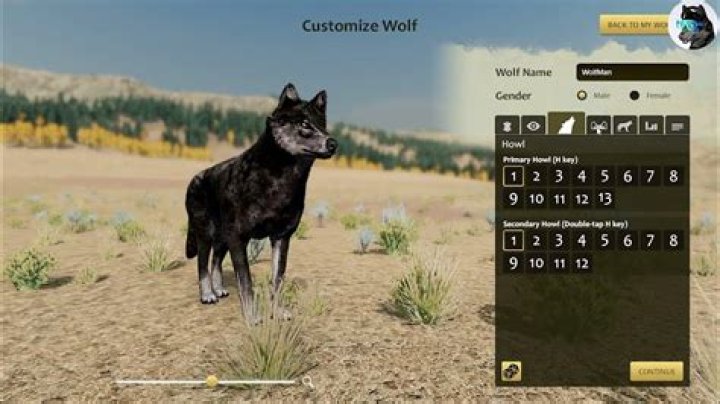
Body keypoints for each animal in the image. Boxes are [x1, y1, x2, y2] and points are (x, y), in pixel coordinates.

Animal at [184, 83, 337, 322]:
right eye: (304, 124)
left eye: (323, 125)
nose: (333, 143)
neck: (280, 182)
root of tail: (194, 178)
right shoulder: (239, 238)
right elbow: (246, 282)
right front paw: (252, 318)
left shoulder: (281, 237)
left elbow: (277, 280)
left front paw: (278, 312)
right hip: (206, 234)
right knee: (202, 262)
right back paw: (208, 295)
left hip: (222, 238)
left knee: (216, 260)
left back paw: (219, 290)